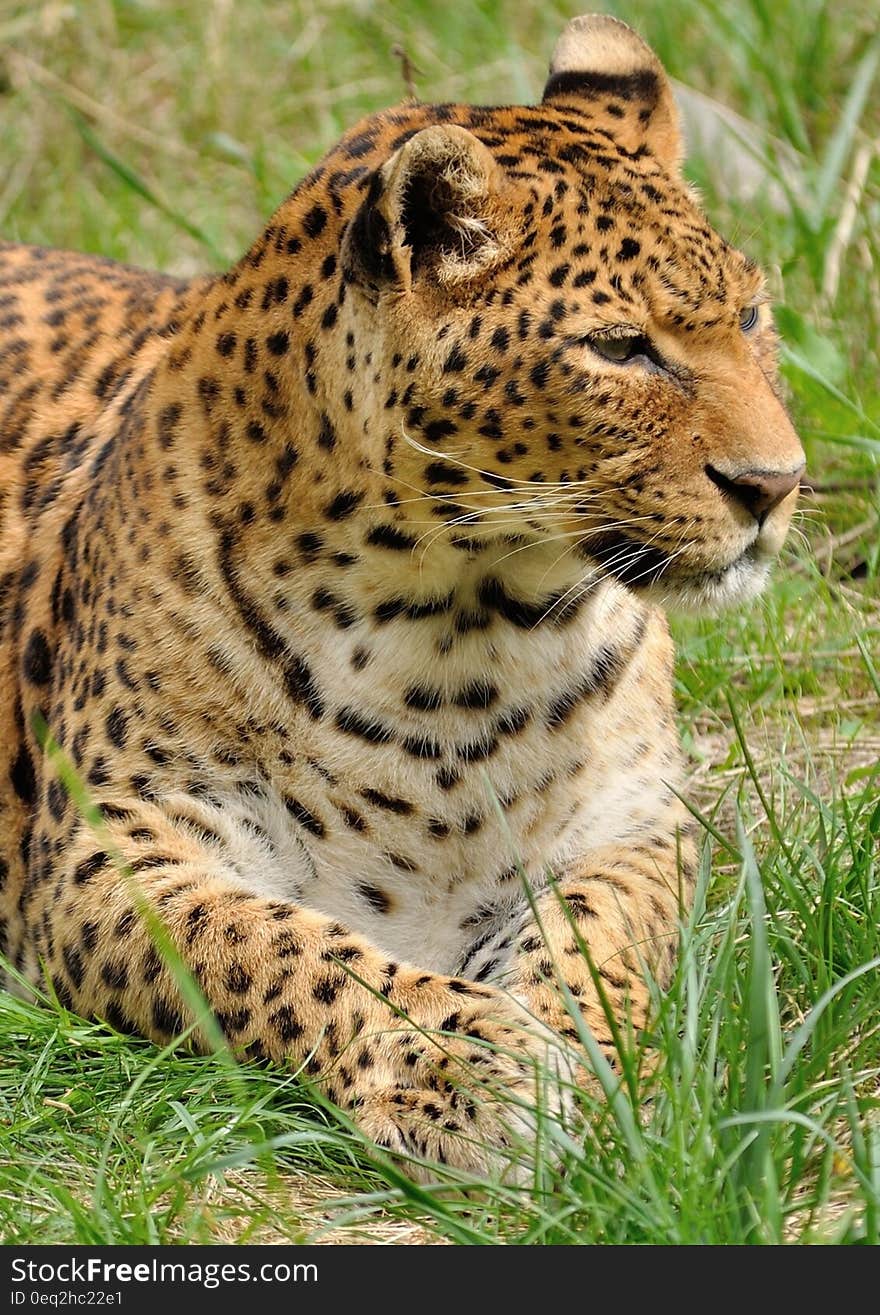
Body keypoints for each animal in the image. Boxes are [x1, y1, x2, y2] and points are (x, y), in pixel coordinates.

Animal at [0, 12, 805, 1183]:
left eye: (750, 317)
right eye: (619, 348)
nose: (776, 484)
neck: (462, 632)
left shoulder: (634, 826)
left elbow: (593, 941)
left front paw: (579, 1058)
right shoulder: (111, 848)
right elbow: (285, 949)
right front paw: (459, 1070)